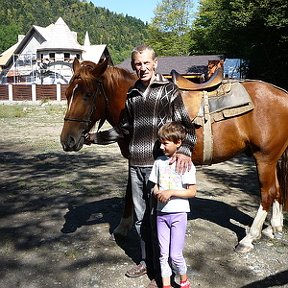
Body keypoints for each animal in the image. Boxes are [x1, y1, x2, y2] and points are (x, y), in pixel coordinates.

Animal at [60, 58, 288, 252]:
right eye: (67, 93)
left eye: (88, 95)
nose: (67, 140)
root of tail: (282, 93)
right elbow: (130, 191)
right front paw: (123, 226)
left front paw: (126, 228)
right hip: (272, 159)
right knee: (277, 189)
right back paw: (273, 227)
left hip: (264, 158)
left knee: (267, 193)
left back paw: (249, 238)